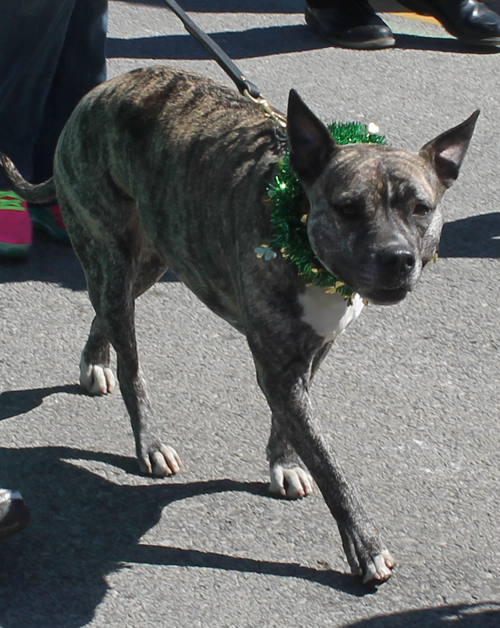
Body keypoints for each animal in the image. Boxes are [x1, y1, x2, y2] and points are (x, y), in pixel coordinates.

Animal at [0, 66, 476, 580]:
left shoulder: (309, 355)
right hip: (112, 247)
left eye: (421, 208)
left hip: (151, 257)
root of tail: (96, 94)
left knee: (104, 311)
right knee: (130, 362)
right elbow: (327, 460)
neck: (299, 229)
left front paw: (283, 463)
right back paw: (149, 440)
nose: (397, 258)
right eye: (348, 208)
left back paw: (95, 361)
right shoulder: (279, 368)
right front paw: (364, 544)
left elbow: (291, 425)